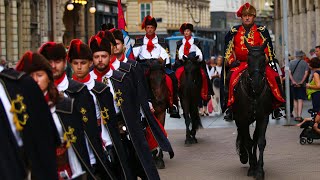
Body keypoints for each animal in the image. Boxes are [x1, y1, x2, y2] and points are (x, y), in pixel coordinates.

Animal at [232, 40, 272, 179]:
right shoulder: (242, 118)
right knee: (243, 135)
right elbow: (248, 142)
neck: (254, 94)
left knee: (254, 138)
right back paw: (245, 157)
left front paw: (259, 170)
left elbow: (260, 141)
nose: (256, 83)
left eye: (263, 60)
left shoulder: (263, 117)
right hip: (239, 118)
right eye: (248, 60)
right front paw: (252, 167)